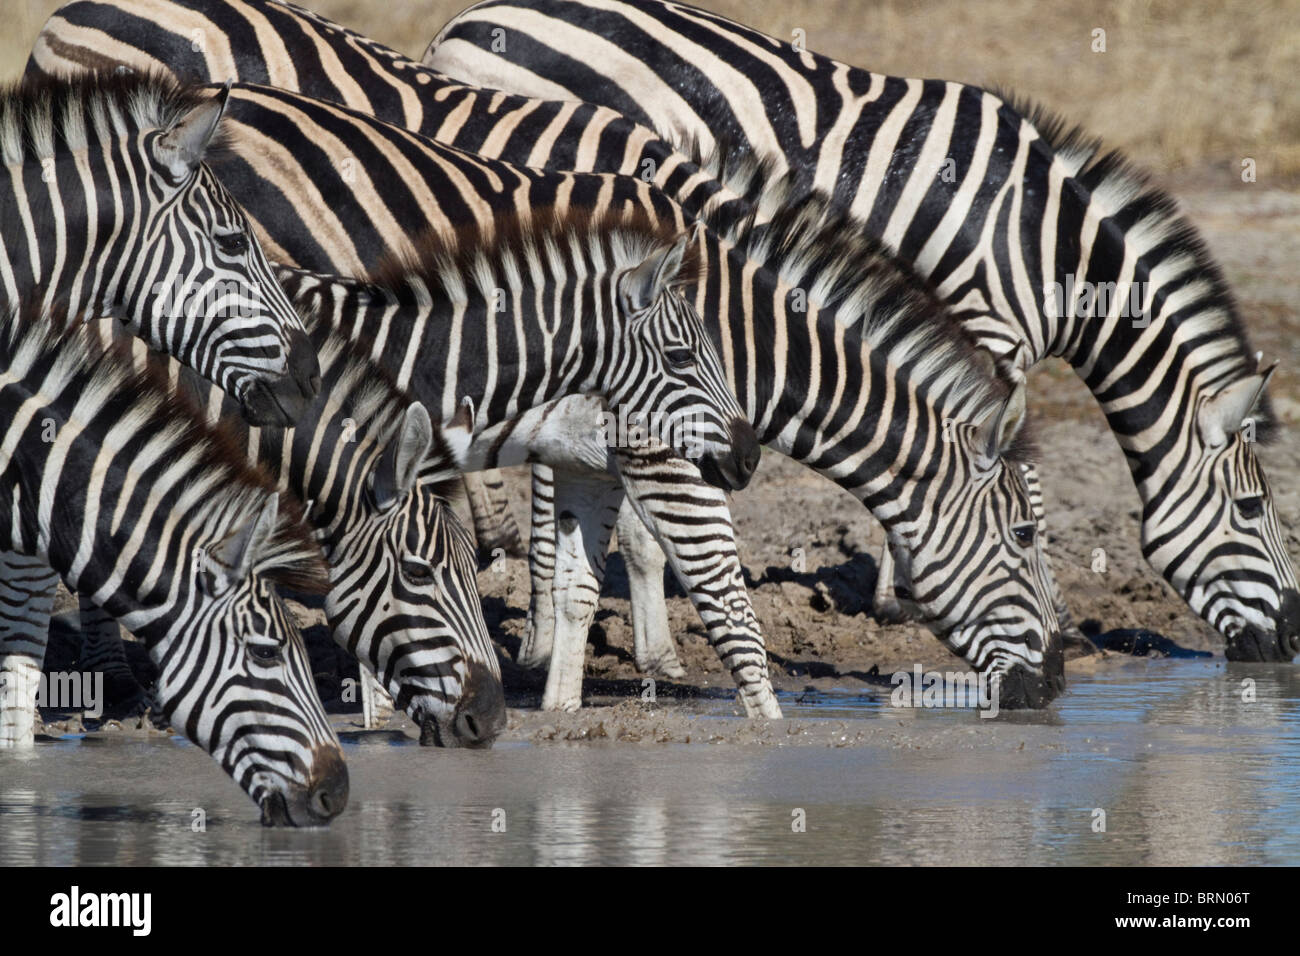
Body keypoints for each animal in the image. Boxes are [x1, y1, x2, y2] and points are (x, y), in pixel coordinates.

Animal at [428, 0, 1300, 660]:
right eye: (1254, 510)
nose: (1291, 642)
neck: (1046, 242)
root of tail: (469, 21)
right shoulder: (989, 327)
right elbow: (1008, 471)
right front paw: (923, 594)